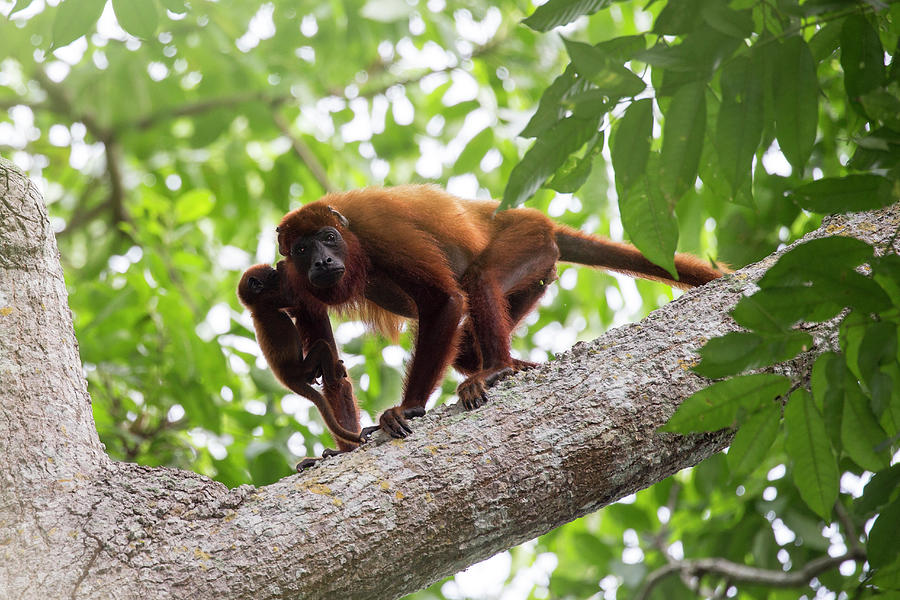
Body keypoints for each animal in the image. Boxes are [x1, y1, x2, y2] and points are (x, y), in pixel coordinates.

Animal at [239, 262, 366, 464]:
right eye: (272, 275)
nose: (276, 272)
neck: (257, 307)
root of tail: (287, 379)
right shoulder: (270, 299)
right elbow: (294, 299)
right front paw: (284, 265)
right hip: (303, 369)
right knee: (322, 347)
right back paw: (334, 375)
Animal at [274, 185, 724, 438]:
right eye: (302, 249)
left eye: (329, 238)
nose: (322, 261)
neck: (352, 242)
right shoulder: (293, 281)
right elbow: (329, 365)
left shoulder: (381, 231)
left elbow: (443, 301)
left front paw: (409, 407)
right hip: (538, 267)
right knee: (464, 345)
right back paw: (515, 365)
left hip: (527, 237)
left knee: (481, 276)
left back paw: (497, 369)